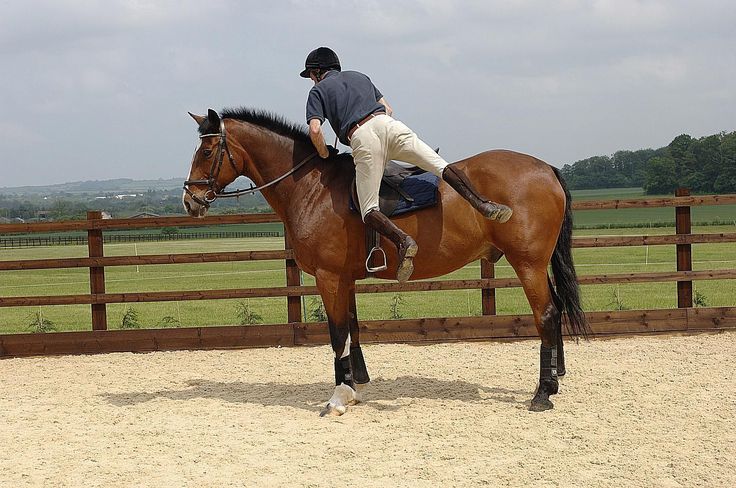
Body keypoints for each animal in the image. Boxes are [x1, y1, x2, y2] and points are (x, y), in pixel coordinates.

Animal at [185, 107, 592, 416]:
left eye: (205, 152)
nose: (190, 200)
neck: (311, 187)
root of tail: (546, 168)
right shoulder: (344, 279)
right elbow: (352, 328)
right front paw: (354, 383)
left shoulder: (327, 277)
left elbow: (337, 335)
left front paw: (340, 394)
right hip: (535, 264)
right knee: (555, 309)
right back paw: (555, 378)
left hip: (528, 264)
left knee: (546, 315)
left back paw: (542, 392)